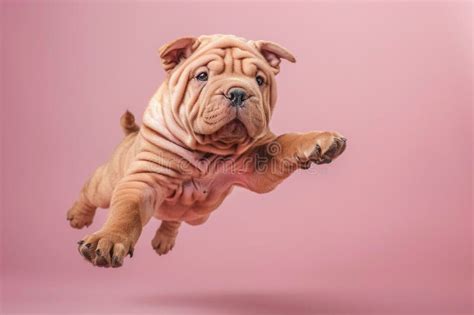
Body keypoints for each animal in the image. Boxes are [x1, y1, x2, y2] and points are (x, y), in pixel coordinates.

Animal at [66, 35, 346, 270]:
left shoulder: (259, 164)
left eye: (259, 80)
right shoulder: (143, 179)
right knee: (91, 191)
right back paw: (77, 216)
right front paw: (108, 239)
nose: (238, 92)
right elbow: (127, 210)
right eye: (202, 76)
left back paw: (164, 240)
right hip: (106, 184)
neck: (209, 151)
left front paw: (320, 140)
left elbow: (287, 142)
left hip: (197, 217)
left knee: (176, 217)